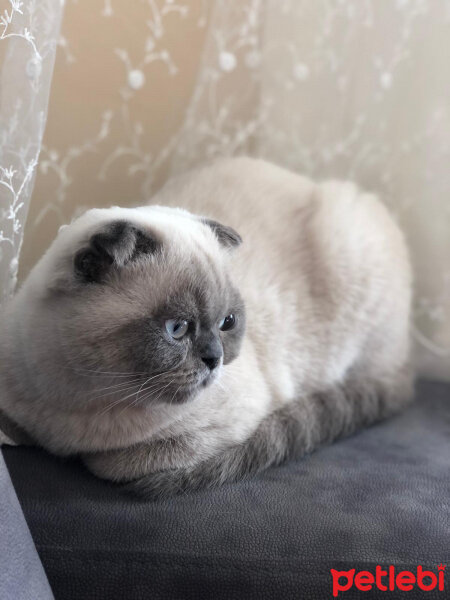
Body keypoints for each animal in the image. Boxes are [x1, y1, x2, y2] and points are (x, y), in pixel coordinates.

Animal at [0, 156, 414, 496]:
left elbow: (109, 463)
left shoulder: (218, 428)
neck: (74, 400)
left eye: (226, 323)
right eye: (178, 328)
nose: (215, 359)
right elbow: (14, 429)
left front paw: (82, 457)